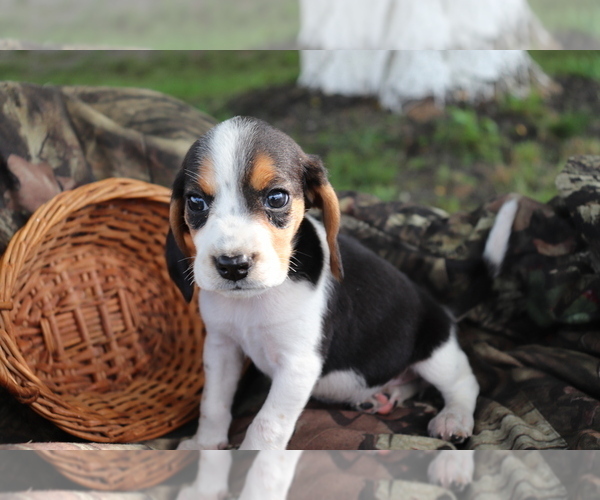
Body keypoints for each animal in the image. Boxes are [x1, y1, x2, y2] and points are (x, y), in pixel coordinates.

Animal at [166, 116, 504, 450]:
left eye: (276, 197)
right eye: (195, 202)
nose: (233, 265)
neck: (254, 300)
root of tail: (444, 310)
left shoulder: (298, 365)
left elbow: (265, 426)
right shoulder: (221, 347)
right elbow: (213, 404)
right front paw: (204, 447)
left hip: (436, 352)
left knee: (464, 382)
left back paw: (453, 419)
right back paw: (383, 396)